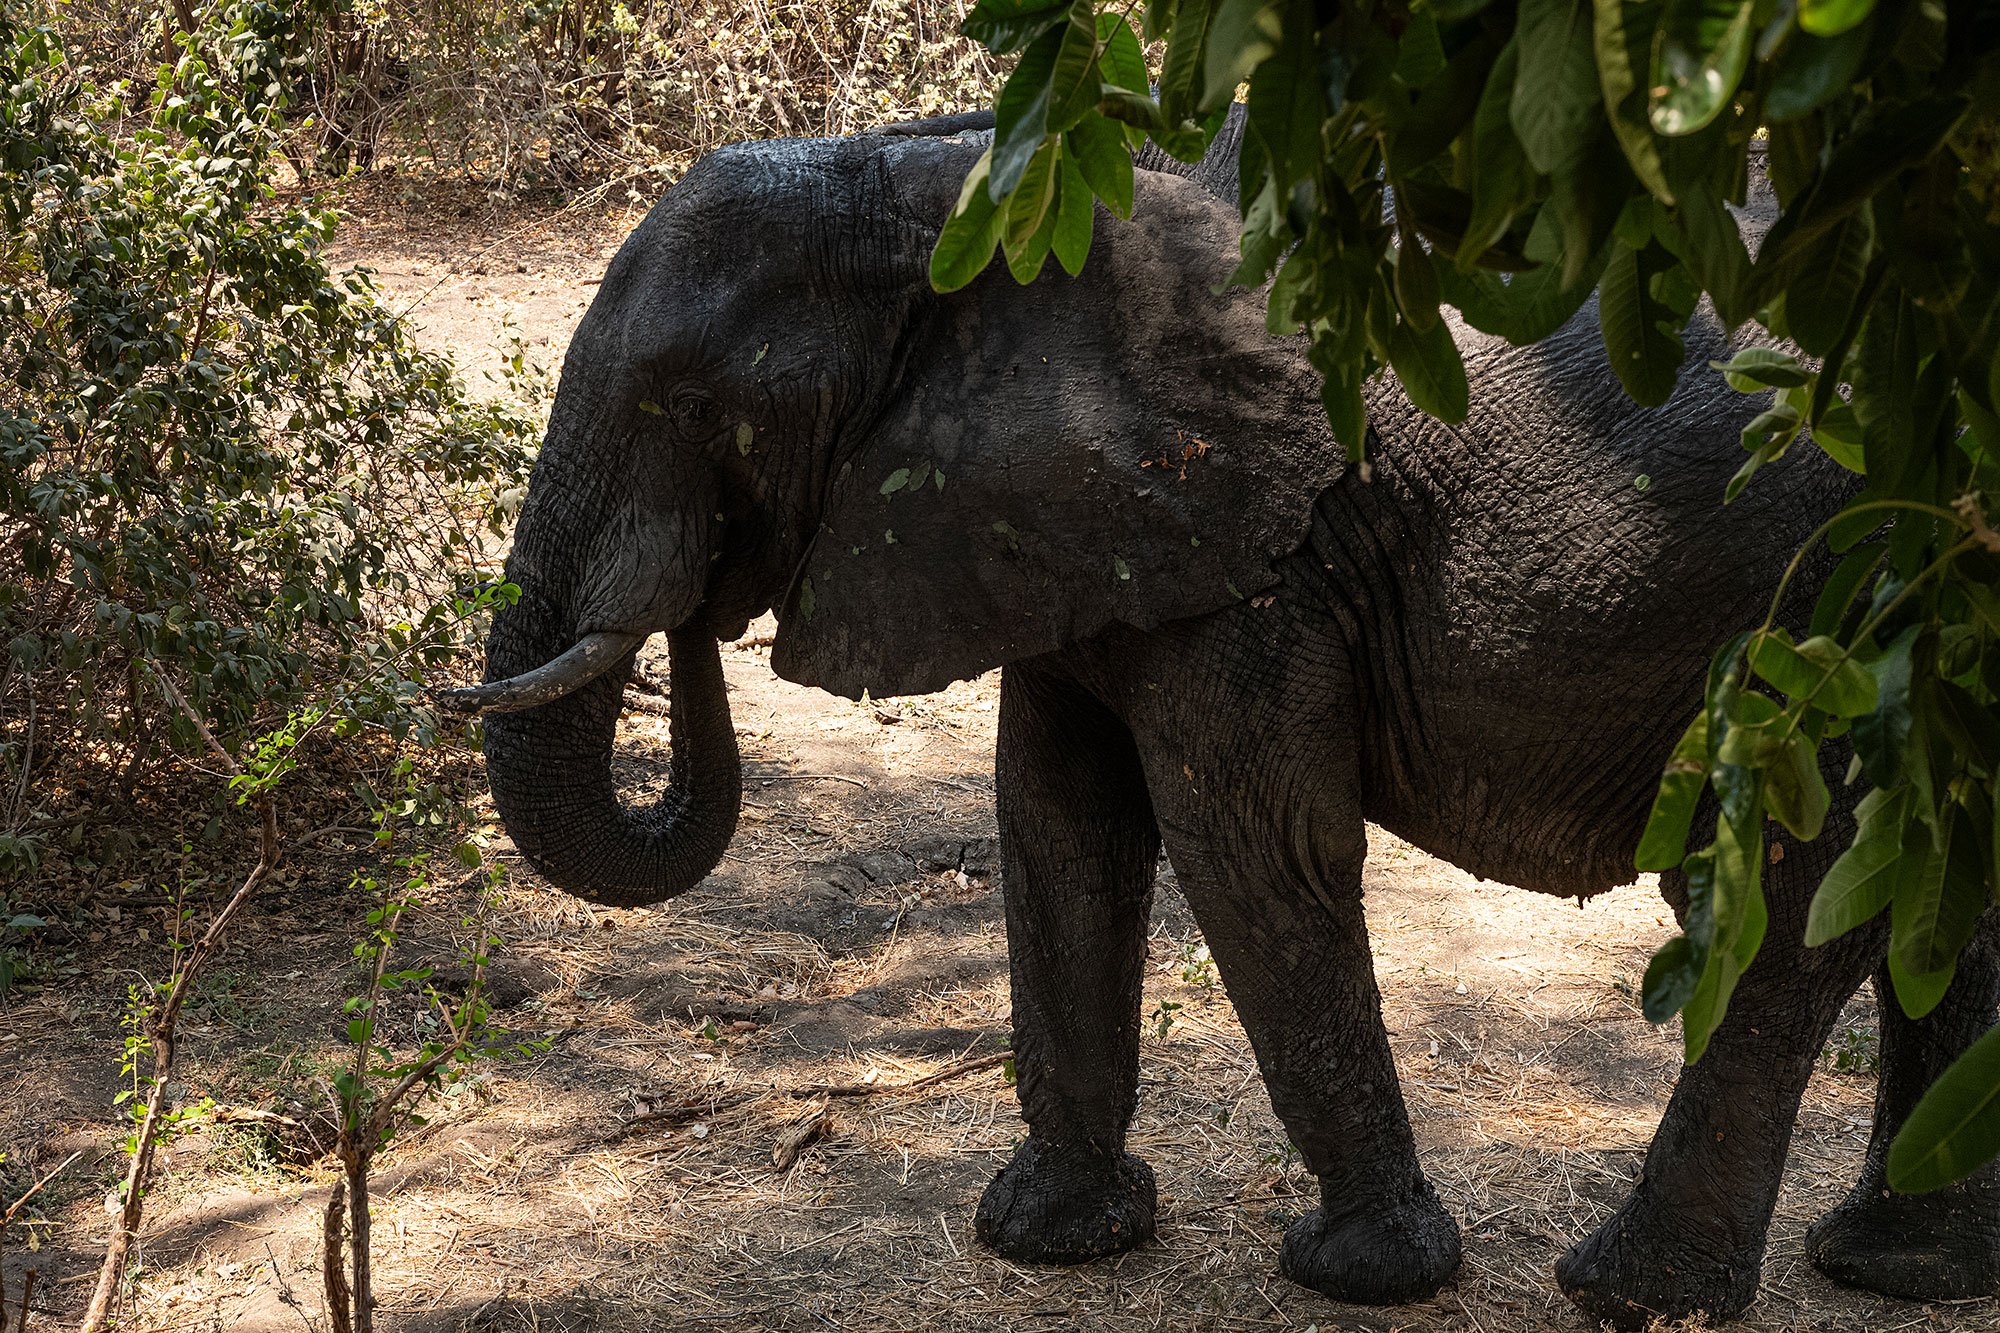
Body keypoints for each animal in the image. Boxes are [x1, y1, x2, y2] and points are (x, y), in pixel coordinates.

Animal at [446, 117, 2000, 1328]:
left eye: (692, 404)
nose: (694, 598)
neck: (963, 180)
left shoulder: (1264, 557)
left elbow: (1251, 847)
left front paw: (1361, 1275)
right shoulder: (1071, 527)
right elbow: (1058, 828)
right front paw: (1050, 1240)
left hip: (1848, 603)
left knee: (1793, 900)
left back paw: (1632, 1292)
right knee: (1939, 900)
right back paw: (1895, 1269)